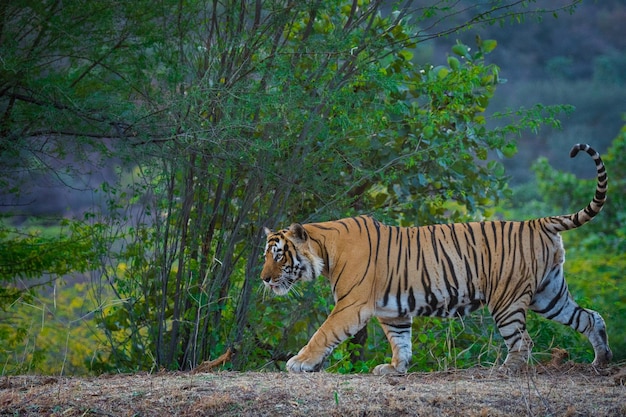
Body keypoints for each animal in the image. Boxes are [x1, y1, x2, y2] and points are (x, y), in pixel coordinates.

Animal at [258, 144, 608, 374]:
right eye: (266, 255)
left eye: (278, 255)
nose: (263, 278)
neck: (326, 251)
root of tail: (538, 221)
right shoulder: (392, 310)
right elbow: (400, 340)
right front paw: (395, 369)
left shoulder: (351, 305)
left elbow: (323, 333)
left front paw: (300, 362)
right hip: (549, 294)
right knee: (591, 318)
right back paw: (600, 360)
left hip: (507, 299)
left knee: (523, 341)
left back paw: (506, 370)